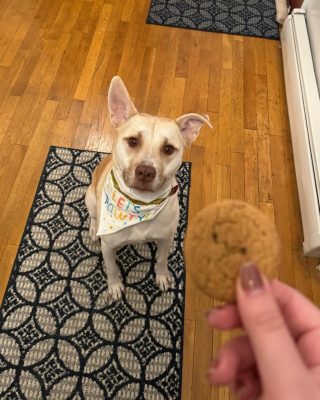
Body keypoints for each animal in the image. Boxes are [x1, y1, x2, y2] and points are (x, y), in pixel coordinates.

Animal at [85, 76, 211, 300]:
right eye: (133, 141)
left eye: (168, 148)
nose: (145, 171)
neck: (139, 205)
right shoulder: (108, 247)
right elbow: (111, 268)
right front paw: (115, 286)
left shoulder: (165, 239)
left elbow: (161, 259)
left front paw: (162, 276)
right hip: (89, 197)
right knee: (93, 216)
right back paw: (93, 228)